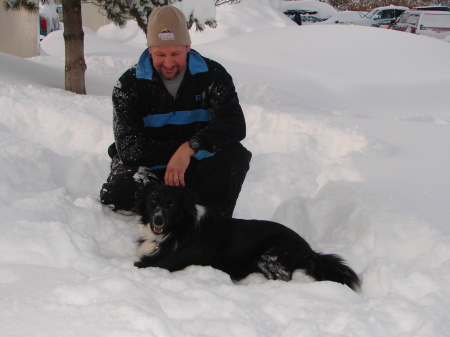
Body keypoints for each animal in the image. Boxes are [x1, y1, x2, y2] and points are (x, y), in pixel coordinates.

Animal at [132, 182, 360, 290]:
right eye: (153, 201)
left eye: (172, 205)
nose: (158, 221)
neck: (179, 228)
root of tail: (310, 250)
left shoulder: (160, 263)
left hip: (268, 258)